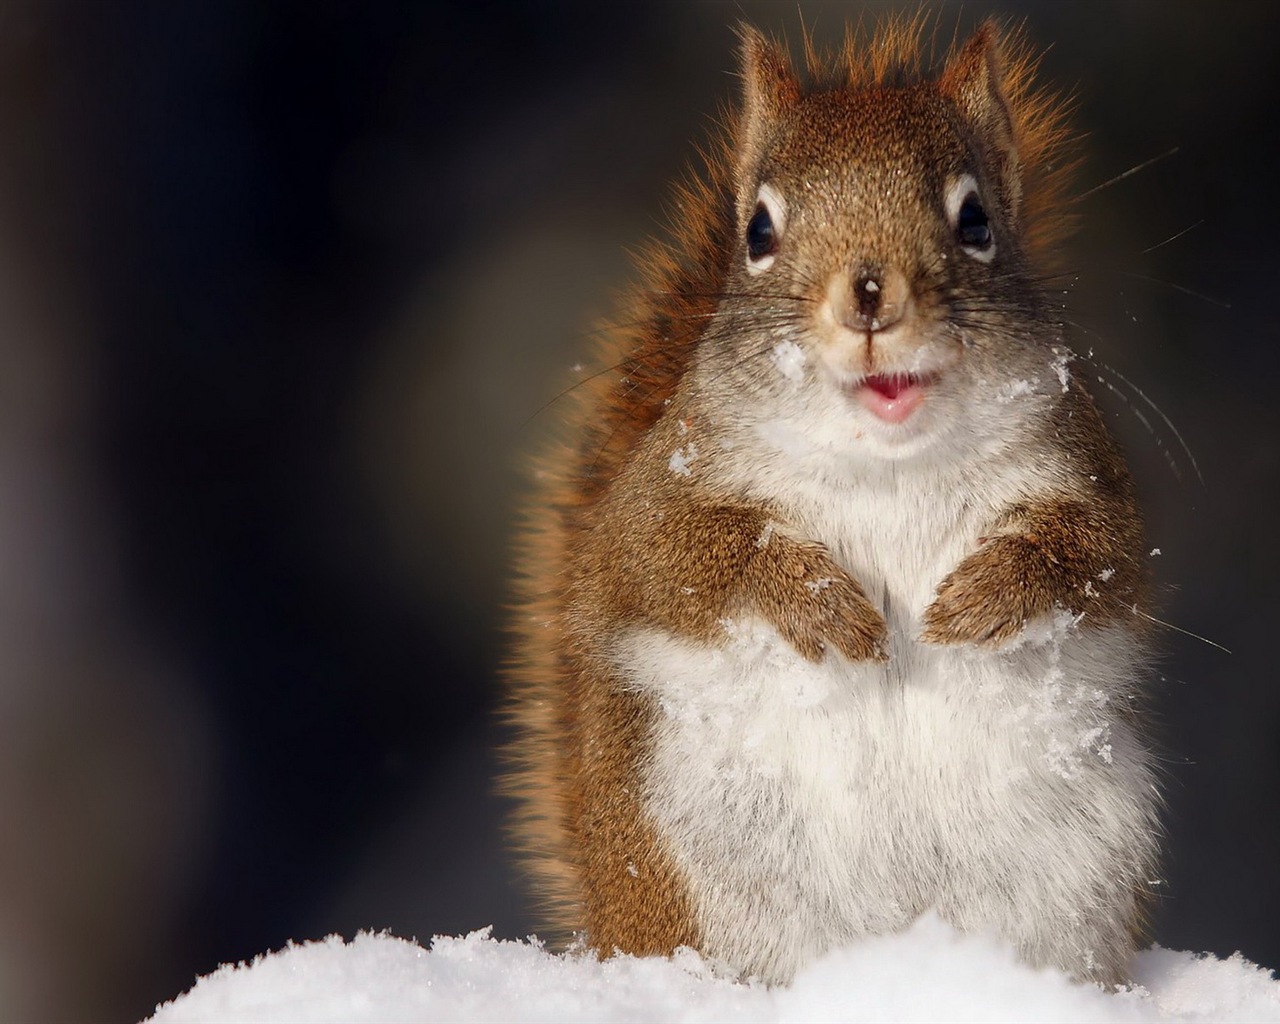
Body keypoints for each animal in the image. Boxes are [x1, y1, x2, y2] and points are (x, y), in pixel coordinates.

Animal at [504, 16, 1167, 988]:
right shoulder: (653, 504)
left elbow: (1094, 558)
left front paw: (985, 594)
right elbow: (680, 561)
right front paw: (819, 603)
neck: (885, 464)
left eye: (976, 221)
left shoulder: (1087, 475)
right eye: (757, 230)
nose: (869, 295)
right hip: (690, 865)